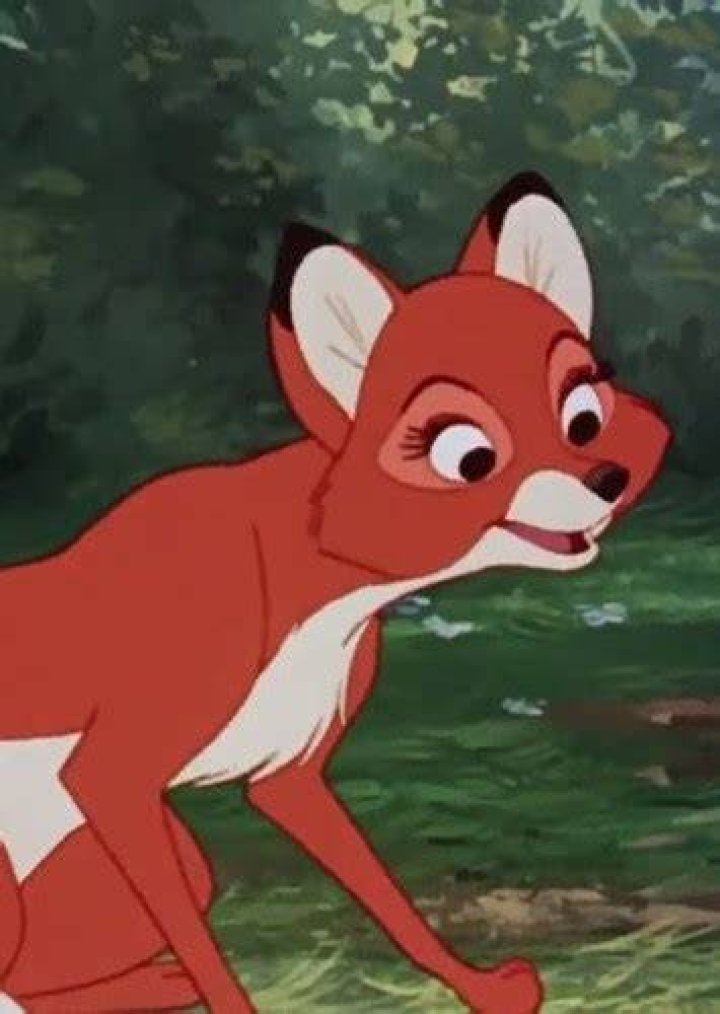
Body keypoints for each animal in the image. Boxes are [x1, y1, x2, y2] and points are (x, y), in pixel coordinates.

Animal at [0, 172, 670, 1014]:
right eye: (468, 456)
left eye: (583, 413)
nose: (607, 479)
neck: (307, 584)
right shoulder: (114, 780)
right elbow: (212, 956)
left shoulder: (289, 778)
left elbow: (390, 904)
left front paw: (481, 989)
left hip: (174, 861)